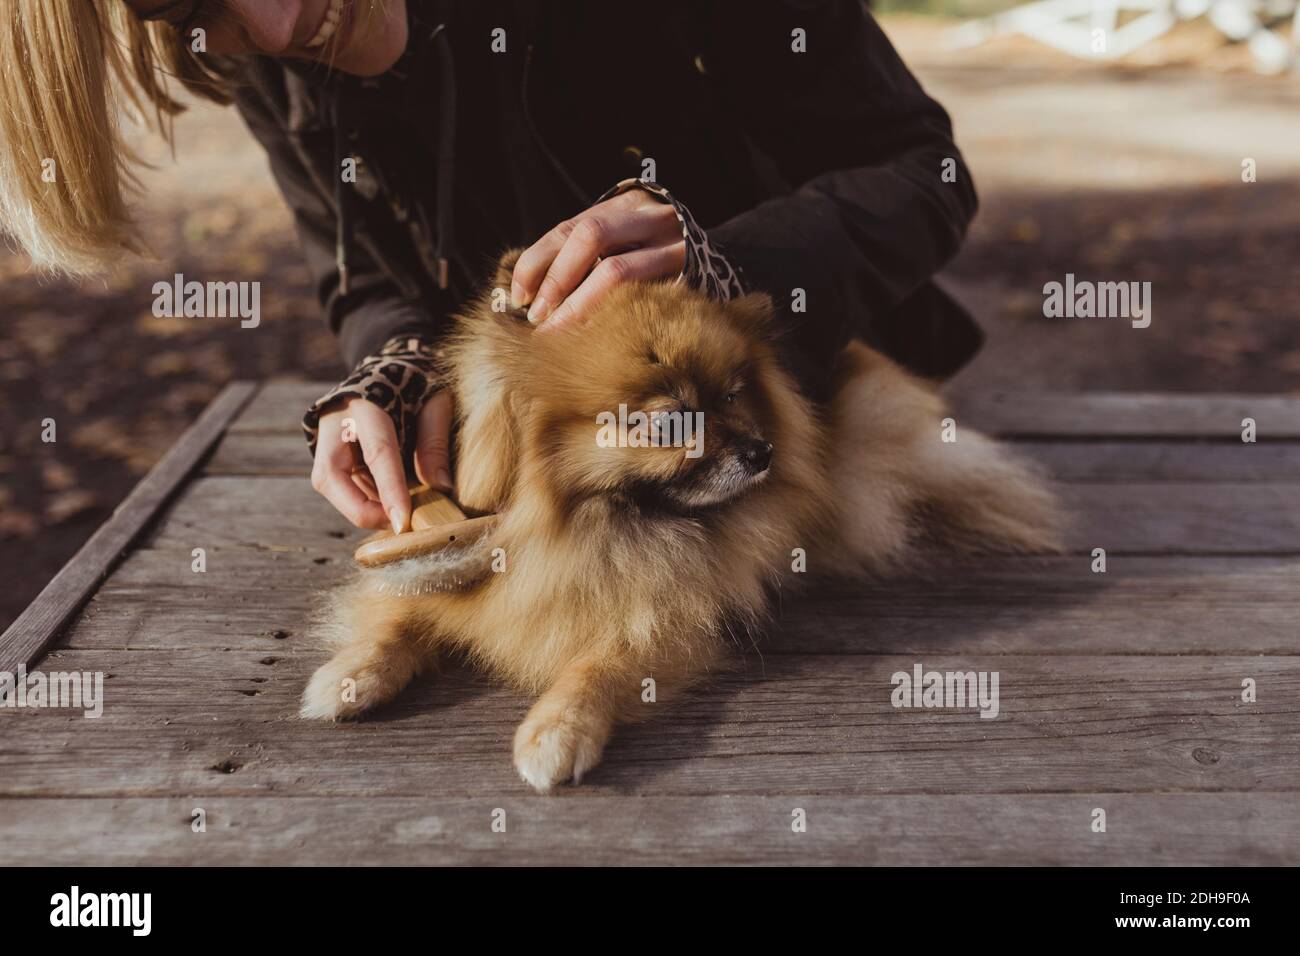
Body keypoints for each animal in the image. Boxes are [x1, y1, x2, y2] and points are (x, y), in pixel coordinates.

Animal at [301, 248, 1055, 790]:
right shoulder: (455, 560)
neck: (588, 527)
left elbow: (599, 664)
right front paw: (350, 675)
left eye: (734, 394)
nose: (761, 452)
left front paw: (556, 731)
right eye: (673, 421)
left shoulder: (667, 617)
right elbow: (403, 613)